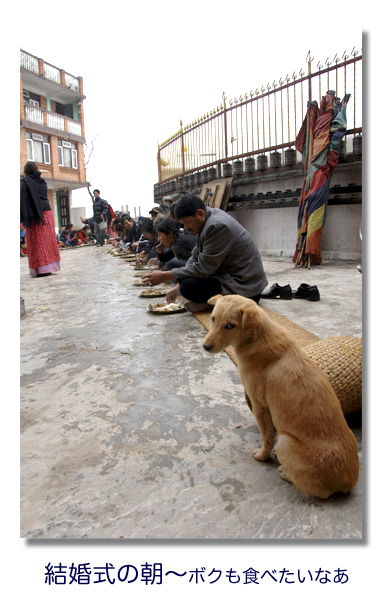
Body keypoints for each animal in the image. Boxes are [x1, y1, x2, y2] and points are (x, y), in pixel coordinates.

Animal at [202, 296, 358, 500]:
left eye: (230, 325)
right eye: (213, 319)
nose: (205, 346)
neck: (257, 337)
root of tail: (348, 482)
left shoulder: (260, 406)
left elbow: (267, 436)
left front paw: (261, 456)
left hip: (284, 442)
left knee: (315, 490)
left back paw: (285, 472)